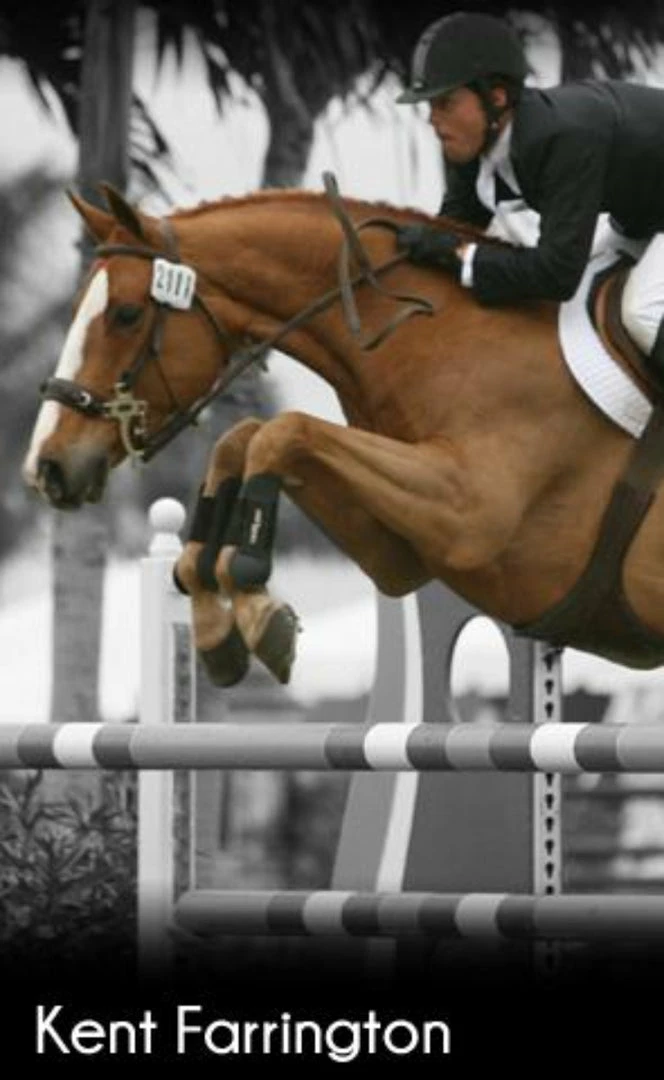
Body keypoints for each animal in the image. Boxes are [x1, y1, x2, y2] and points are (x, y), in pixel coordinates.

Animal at [23, 180, 664, 687]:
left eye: (127, 314)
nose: (46, 467)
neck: (439, 337)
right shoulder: (401, 553)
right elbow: (247, 438)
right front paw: (215, 622)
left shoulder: (470, 515)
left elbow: (284, 431)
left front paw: (257, 608)